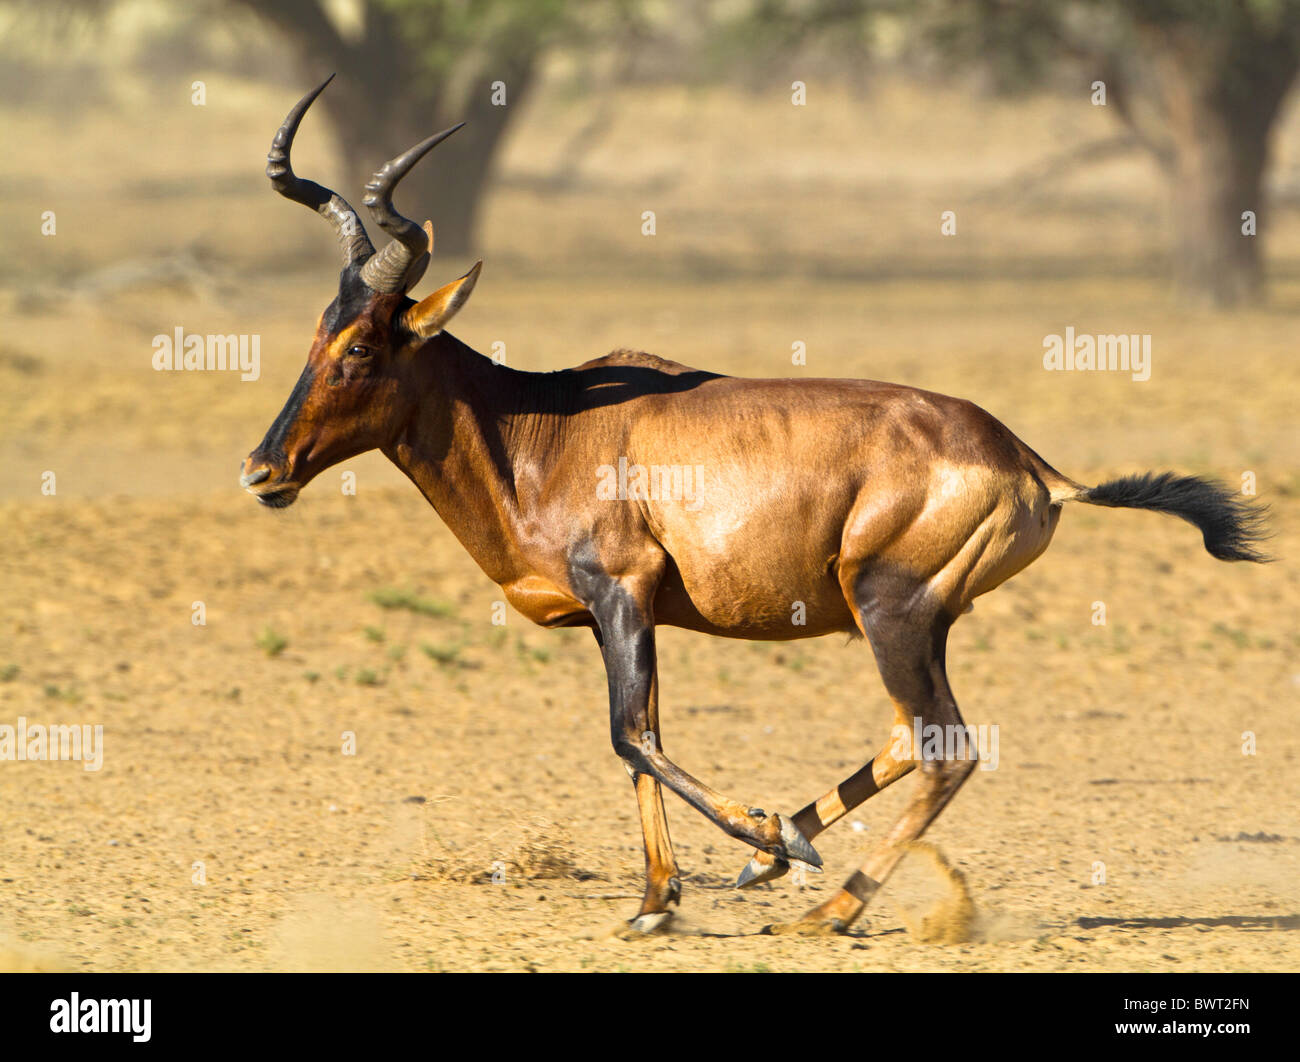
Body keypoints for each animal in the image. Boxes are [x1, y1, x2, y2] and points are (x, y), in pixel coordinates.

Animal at [244, 78, 1268, 930]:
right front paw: (660, 900)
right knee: (909, 734)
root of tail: (1027, 462)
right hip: (920, 617)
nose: (263, 470)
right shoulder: (624, 616)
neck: (546, 424)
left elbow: (627, 735)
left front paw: (753, 841)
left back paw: (826, 905)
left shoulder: (620, 591)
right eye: (319, 332)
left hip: (890, 606)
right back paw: (785, 865)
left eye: (363, 347)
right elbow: (644, 736)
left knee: (946, 744)